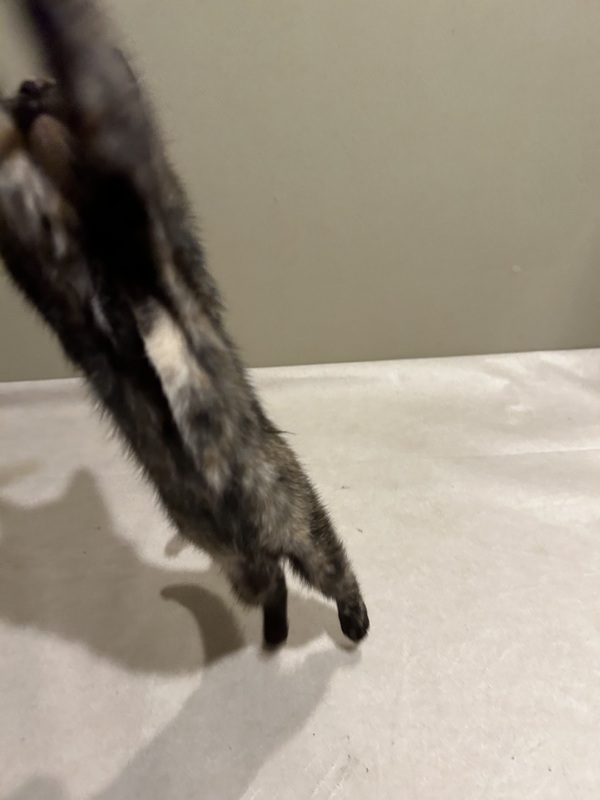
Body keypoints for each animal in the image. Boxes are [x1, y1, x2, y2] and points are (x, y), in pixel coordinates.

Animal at [0, 0, 369, 647]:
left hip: (284, 530)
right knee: (291, 581)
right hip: (264, 546)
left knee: (314, 575)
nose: (27, 90)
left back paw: (331, 626)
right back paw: (291, 632)